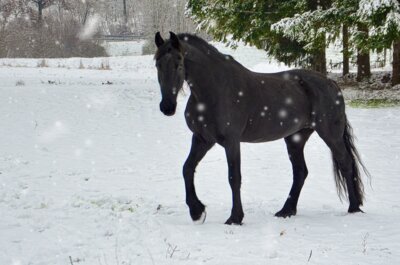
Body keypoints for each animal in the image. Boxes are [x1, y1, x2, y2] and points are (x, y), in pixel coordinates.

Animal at [152, 32, 368, 224]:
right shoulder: (202, 139)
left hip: (330, 135)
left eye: (179, 63)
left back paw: (354, 208)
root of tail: (331, 83)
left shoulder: (231, 142)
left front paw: (235, 218)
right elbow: (187, 168)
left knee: (346, 163)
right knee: (300, 172)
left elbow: (234, 177)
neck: (213, 91)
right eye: (157, 64)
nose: (167, 107)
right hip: (295, 138)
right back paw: (286, 211)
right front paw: (197, 212)